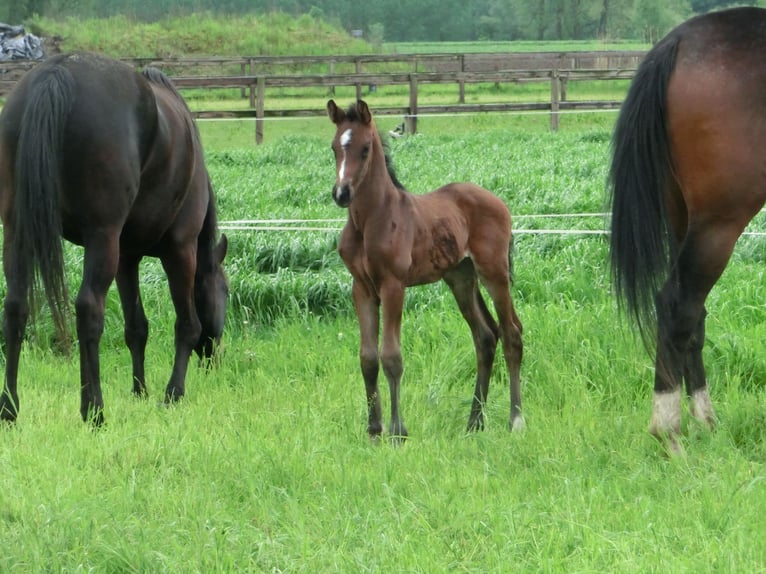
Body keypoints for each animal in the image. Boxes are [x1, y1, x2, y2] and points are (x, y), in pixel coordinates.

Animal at [0, 51, 228, 426]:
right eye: (225, 291)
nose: (214, 360)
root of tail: (57, 72)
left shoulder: (127, 258)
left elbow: (136, 327)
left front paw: (140, 391)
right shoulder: (180, 249)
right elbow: (187, 325)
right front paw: (172, 393)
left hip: (19, 232)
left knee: (15, 307)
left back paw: (9, 408)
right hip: (101, 238)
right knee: (89, 309)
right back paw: (93, 409)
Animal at [328, 100, 524, 440]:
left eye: (365, 149)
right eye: (334, 147)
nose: (341, 194)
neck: (371, 220)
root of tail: (500, 203)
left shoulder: (393, 285)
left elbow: (391, 356)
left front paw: (398, 432)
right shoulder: (362, 288)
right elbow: (368, 357)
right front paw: (374, 429)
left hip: (494, 272)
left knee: (512, 333)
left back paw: (515, 419)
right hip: (461, 277)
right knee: (486, 336)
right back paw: (475, 422)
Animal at [608, 6, 766, 452]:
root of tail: (678, 41)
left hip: (685, 219)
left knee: (693, 313)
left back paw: (705, 420)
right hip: (718, 222)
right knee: (678, 304)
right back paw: (668, 430)